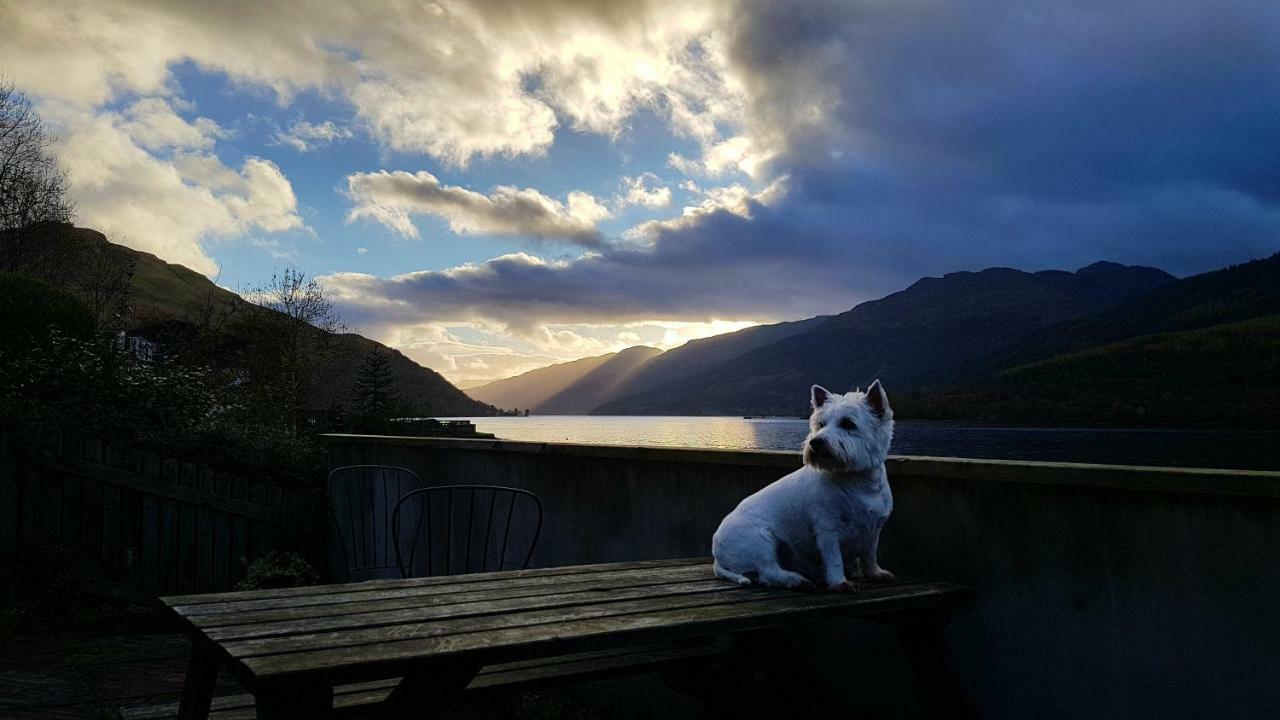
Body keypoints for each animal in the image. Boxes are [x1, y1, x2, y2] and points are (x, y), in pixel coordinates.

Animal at [716, 381, 896, 589]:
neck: (858, 480)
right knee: (768, 571)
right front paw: (839, 582)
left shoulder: (873, 529)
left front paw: (876, 573)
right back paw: (796, 580)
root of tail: (717, 556)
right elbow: (835, 558)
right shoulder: (827, 528)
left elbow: (869, 556)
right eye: (821, 424)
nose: (816, 442)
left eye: (848, 423)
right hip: (760, 540)